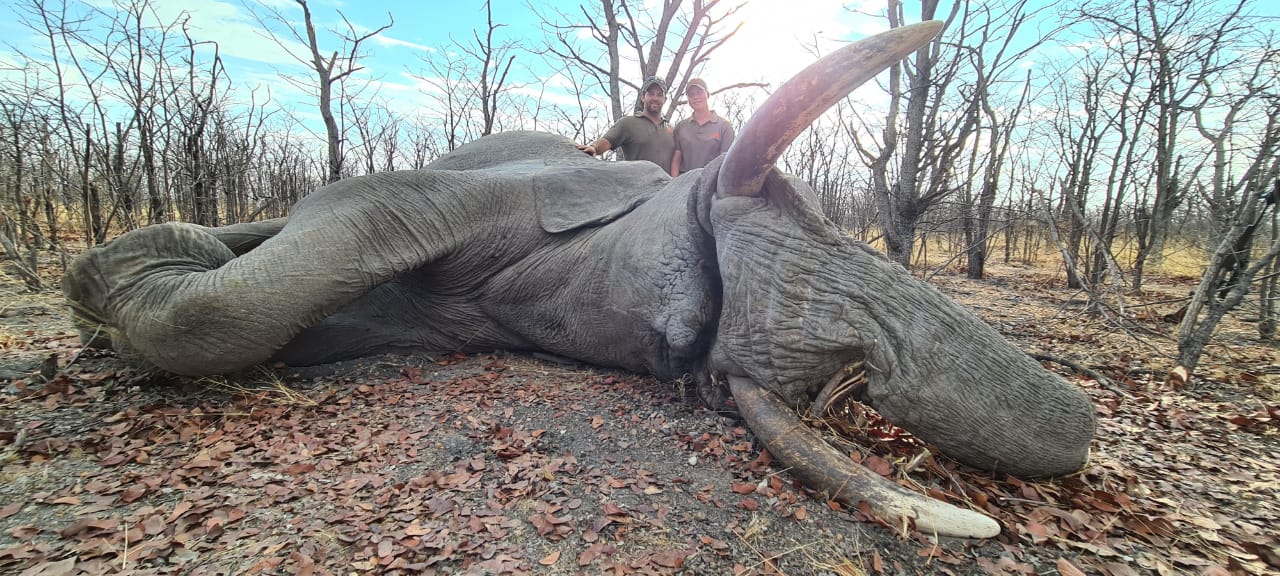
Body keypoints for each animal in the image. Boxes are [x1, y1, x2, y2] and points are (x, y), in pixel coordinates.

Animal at [62, 21, 1095, 539]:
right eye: (778, 201)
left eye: (682, 358)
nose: (852, 380)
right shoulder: (512, 190)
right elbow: (358, 212)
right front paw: (117, 285)